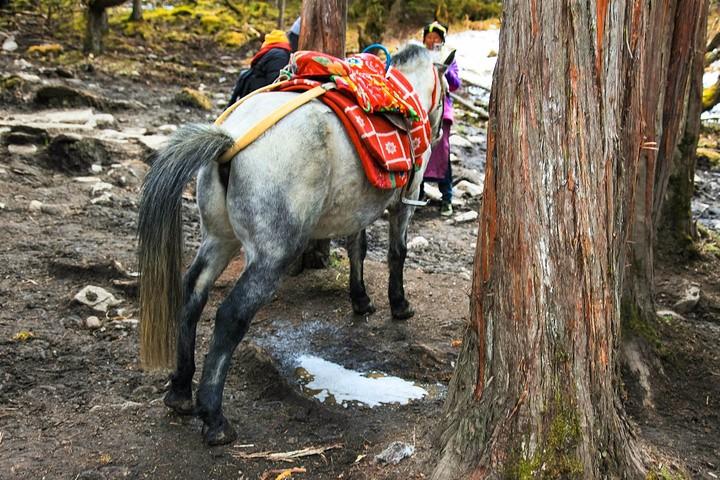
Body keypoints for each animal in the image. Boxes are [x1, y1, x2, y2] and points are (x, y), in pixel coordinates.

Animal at [137, 43, 450, 444]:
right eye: (446, 91)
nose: (439, 132)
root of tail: (230, 141)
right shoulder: (404, 201)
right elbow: (397, 253)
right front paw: (399, 304)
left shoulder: (357, 210)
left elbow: (357, 250)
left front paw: (361, 299)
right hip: (271, 256)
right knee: (231, 316)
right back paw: (215, 417)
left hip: (219, 239)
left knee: (192, 292)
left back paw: (179, 390)